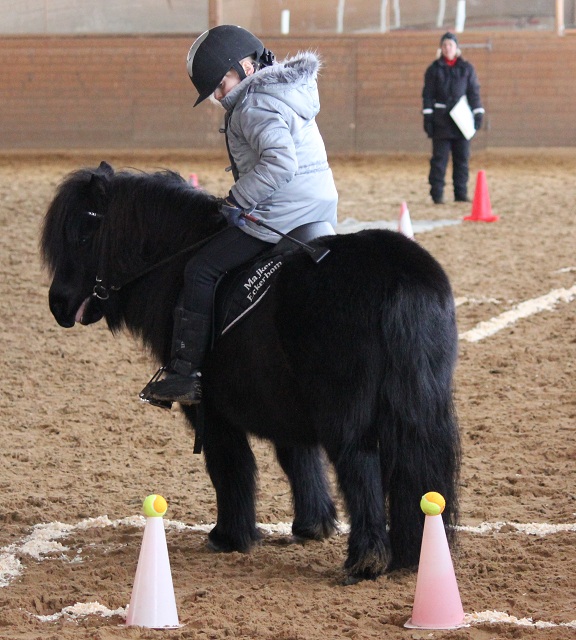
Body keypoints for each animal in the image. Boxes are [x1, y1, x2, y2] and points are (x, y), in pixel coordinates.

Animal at [40, 161, 462, 584]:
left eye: (84, 230)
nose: (57, 304)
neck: (176, 261)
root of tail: (398, 277)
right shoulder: (285, 403)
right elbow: (299, 461)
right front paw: (312, 526)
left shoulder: (211, 411)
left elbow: (230, 466)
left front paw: (228, 536)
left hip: (345, 414)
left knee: (359, 466)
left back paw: (365, 559)